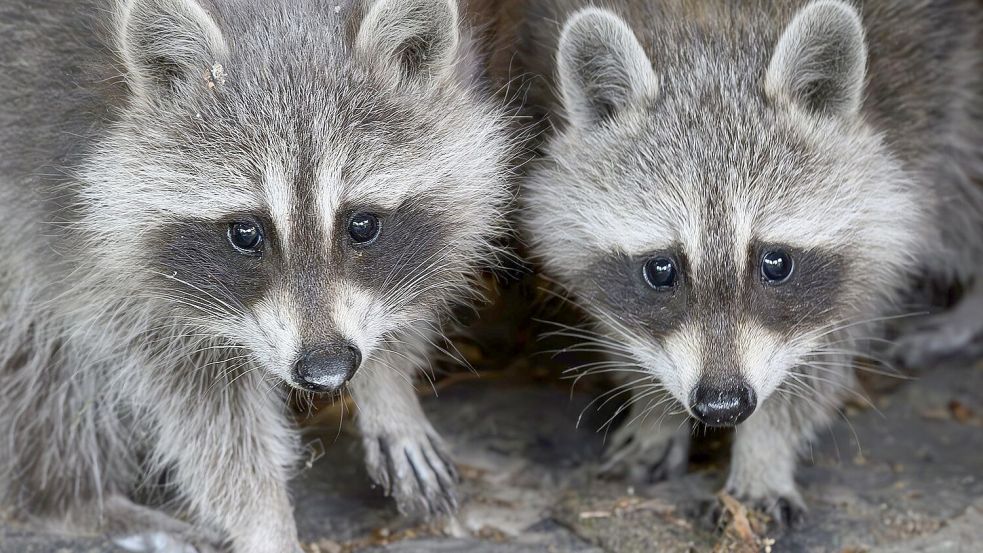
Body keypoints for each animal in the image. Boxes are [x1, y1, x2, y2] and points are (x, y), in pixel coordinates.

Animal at [0, 0, 512, 548]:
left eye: (362, 224)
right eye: (246, 232)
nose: (328, 370)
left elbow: (425, 274)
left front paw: (388, 386)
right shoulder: (99, 251)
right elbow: (207, 417)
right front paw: (265, 522)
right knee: (43, 364)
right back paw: (72, 500)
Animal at [516, 0, 983, 524]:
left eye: (775, 263)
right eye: (661, 269)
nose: (723, 406)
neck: (716, 35)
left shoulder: (905, 146)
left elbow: (824, 349)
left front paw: (765, 450)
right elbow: (624, 324)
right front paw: (655, 408)